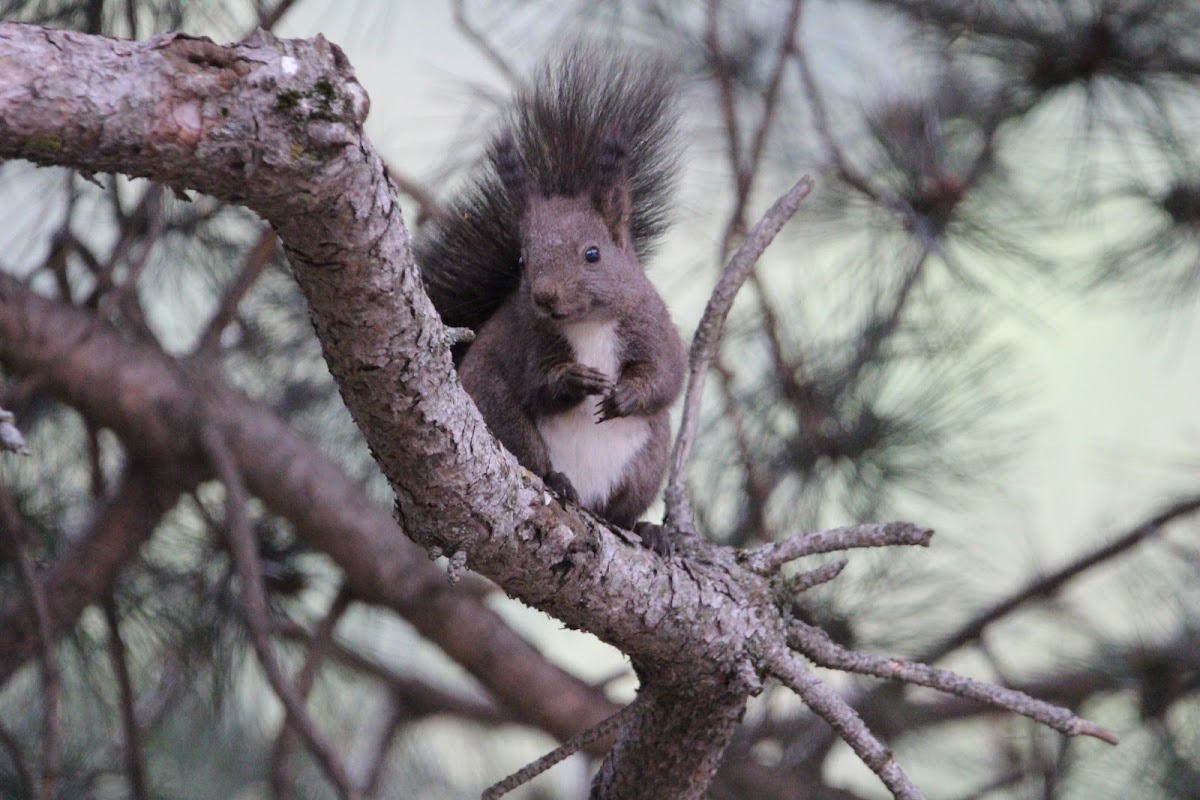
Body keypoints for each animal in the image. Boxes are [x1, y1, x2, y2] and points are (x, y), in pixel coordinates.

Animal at [420, 48, 686, 537]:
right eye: (522, 261)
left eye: (593, 254)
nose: (545, 297)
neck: (588, 324)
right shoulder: (525, 339)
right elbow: (536, 385)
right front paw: (575, 380)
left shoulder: (652, 323)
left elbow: (666, 375)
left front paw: (625, 396)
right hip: (500, 413)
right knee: (534, 460)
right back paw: (559, 481)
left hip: (649, 458)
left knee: (622, 509)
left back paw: (647, 531)